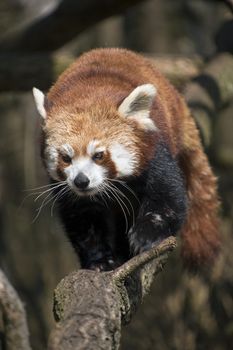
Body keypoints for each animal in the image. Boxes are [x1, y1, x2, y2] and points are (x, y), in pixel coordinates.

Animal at [32, 47, 220, 270]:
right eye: (66, 158)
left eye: (99, 155)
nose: (81, 181)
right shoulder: (70, 193)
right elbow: (82, 220)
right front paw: (99, 260)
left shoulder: (153, 151)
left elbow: (168, 196)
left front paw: (146, 236)